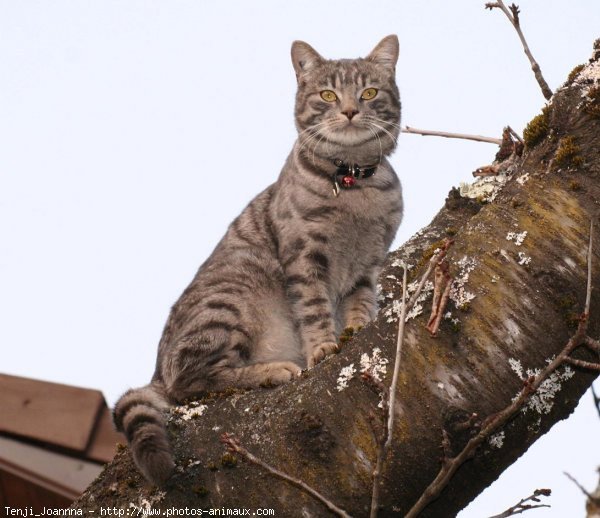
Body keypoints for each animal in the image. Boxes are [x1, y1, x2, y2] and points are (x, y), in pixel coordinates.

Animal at [112, 35, 404, 488]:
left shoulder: (367, 265)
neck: (355, 187)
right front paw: (323, 346)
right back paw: (273, 370)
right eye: (328, 95)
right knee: (190, 381)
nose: (350, 110)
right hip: (233, 297)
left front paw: (356, 327)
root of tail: (154, 373)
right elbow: (315, 309)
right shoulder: (305, 258)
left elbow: (359, 303)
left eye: (369, 92)